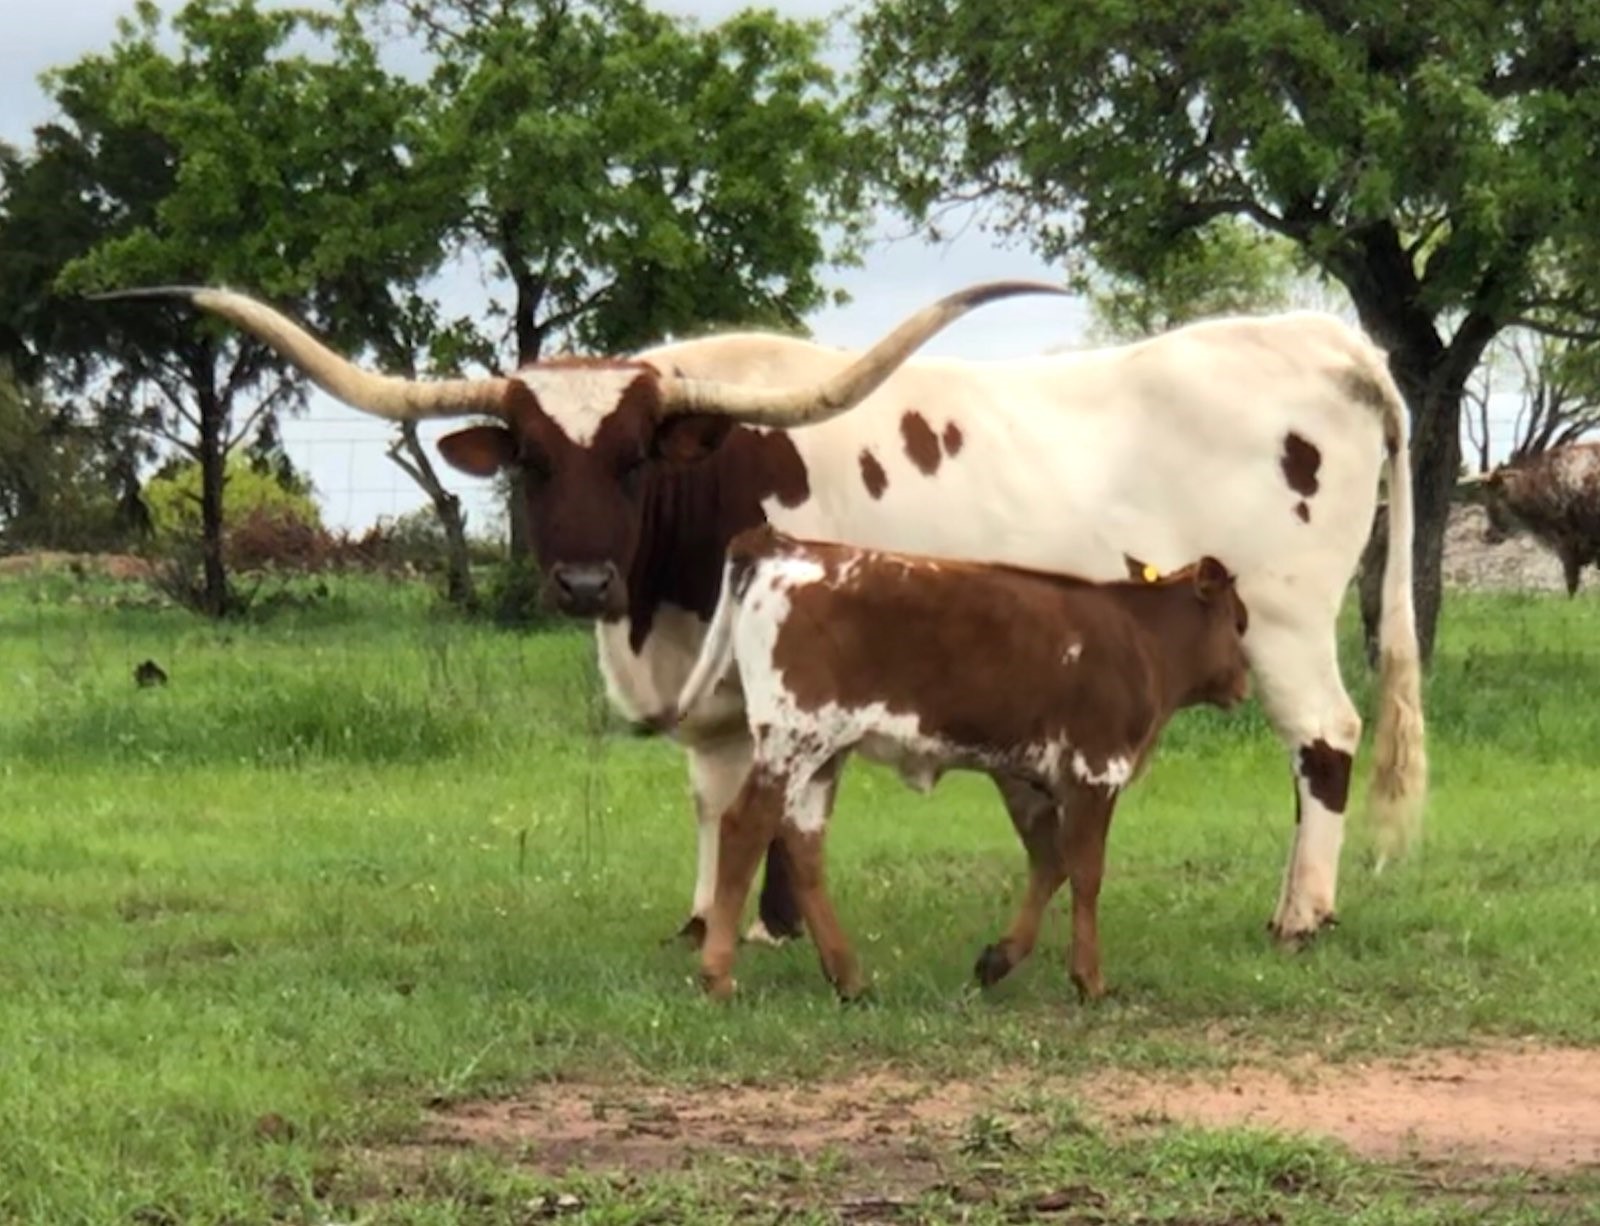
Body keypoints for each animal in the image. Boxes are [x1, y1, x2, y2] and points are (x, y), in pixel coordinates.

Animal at [93, 284, 1427, 949]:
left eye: (636, 456)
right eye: (531, 458)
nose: (584, 583)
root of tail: (1314, 336)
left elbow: (778, 790)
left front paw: (775, 925)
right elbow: (715, 787)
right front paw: (708, 914)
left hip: (1279, 621)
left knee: (1325, 741)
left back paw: (1300, 912)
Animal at [649, 526, 1254, 1002]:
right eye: (1240, 621)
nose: (1245, 682)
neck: (1140, 636)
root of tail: (784, 545)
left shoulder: (1025, 777)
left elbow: (1050, 863)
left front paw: (998, 960)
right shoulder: (1095, 769)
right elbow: (1085, 872)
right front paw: (1089, 978)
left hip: (821, 756)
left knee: (803, 847)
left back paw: (848, 978)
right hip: (791, 740)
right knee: (745, 828)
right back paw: (719, 975)